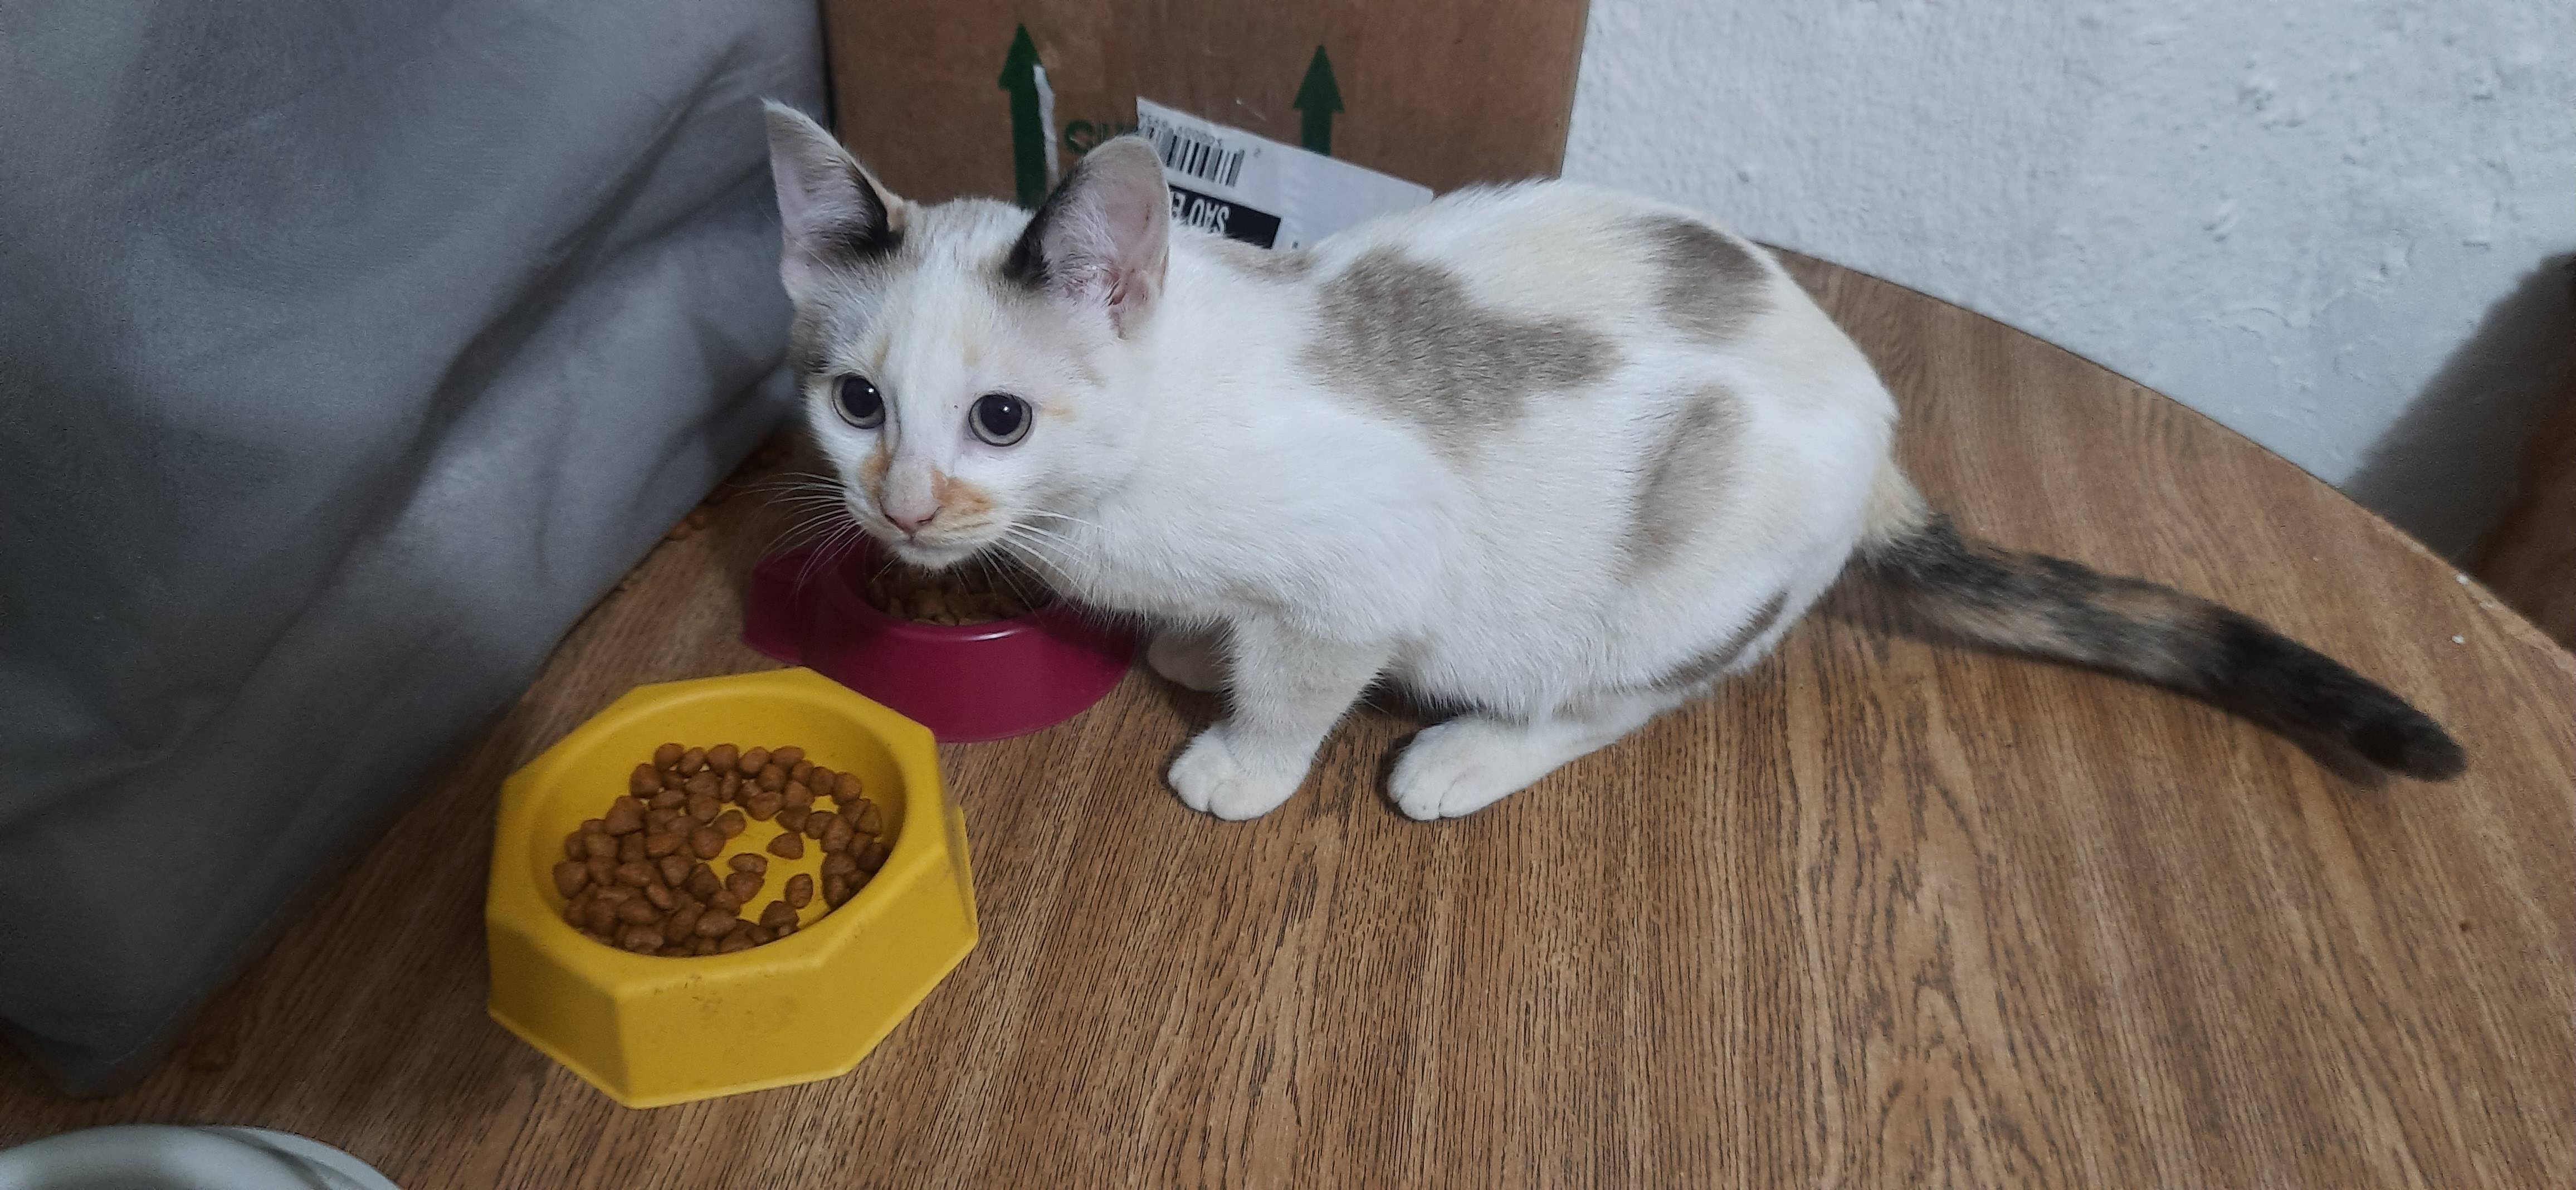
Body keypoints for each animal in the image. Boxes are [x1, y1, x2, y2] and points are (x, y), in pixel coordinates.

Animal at [761, 103, 2464, 821]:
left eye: (998, 420)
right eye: (854, 402)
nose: (903, 507)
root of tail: (1875, 414)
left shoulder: (1361, 572)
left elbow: (1303, 677)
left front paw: (1243, 756)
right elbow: (1224, 624)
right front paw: (1189, 642)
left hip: (1687, 574)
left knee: (1628, 698)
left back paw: (1466, 757)